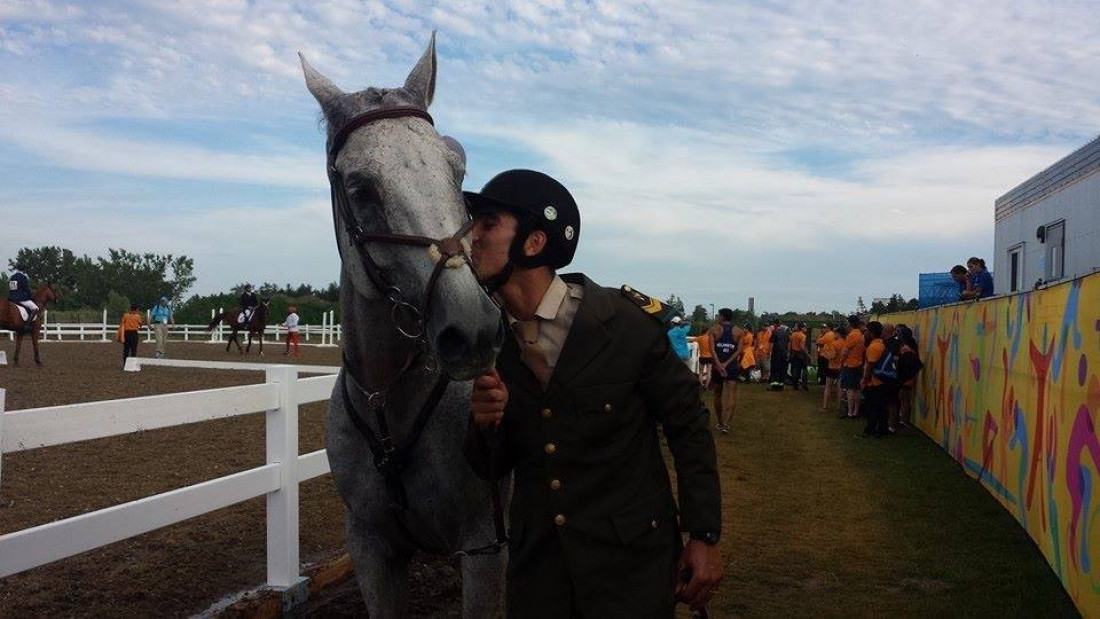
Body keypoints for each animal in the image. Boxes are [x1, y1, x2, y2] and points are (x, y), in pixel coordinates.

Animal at [301, 36, 506, 615]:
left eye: (456, 171)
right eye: (360, 188)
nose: (473, 329)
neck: (387, 402)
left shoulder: (484, 547)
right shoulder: (371, 548)